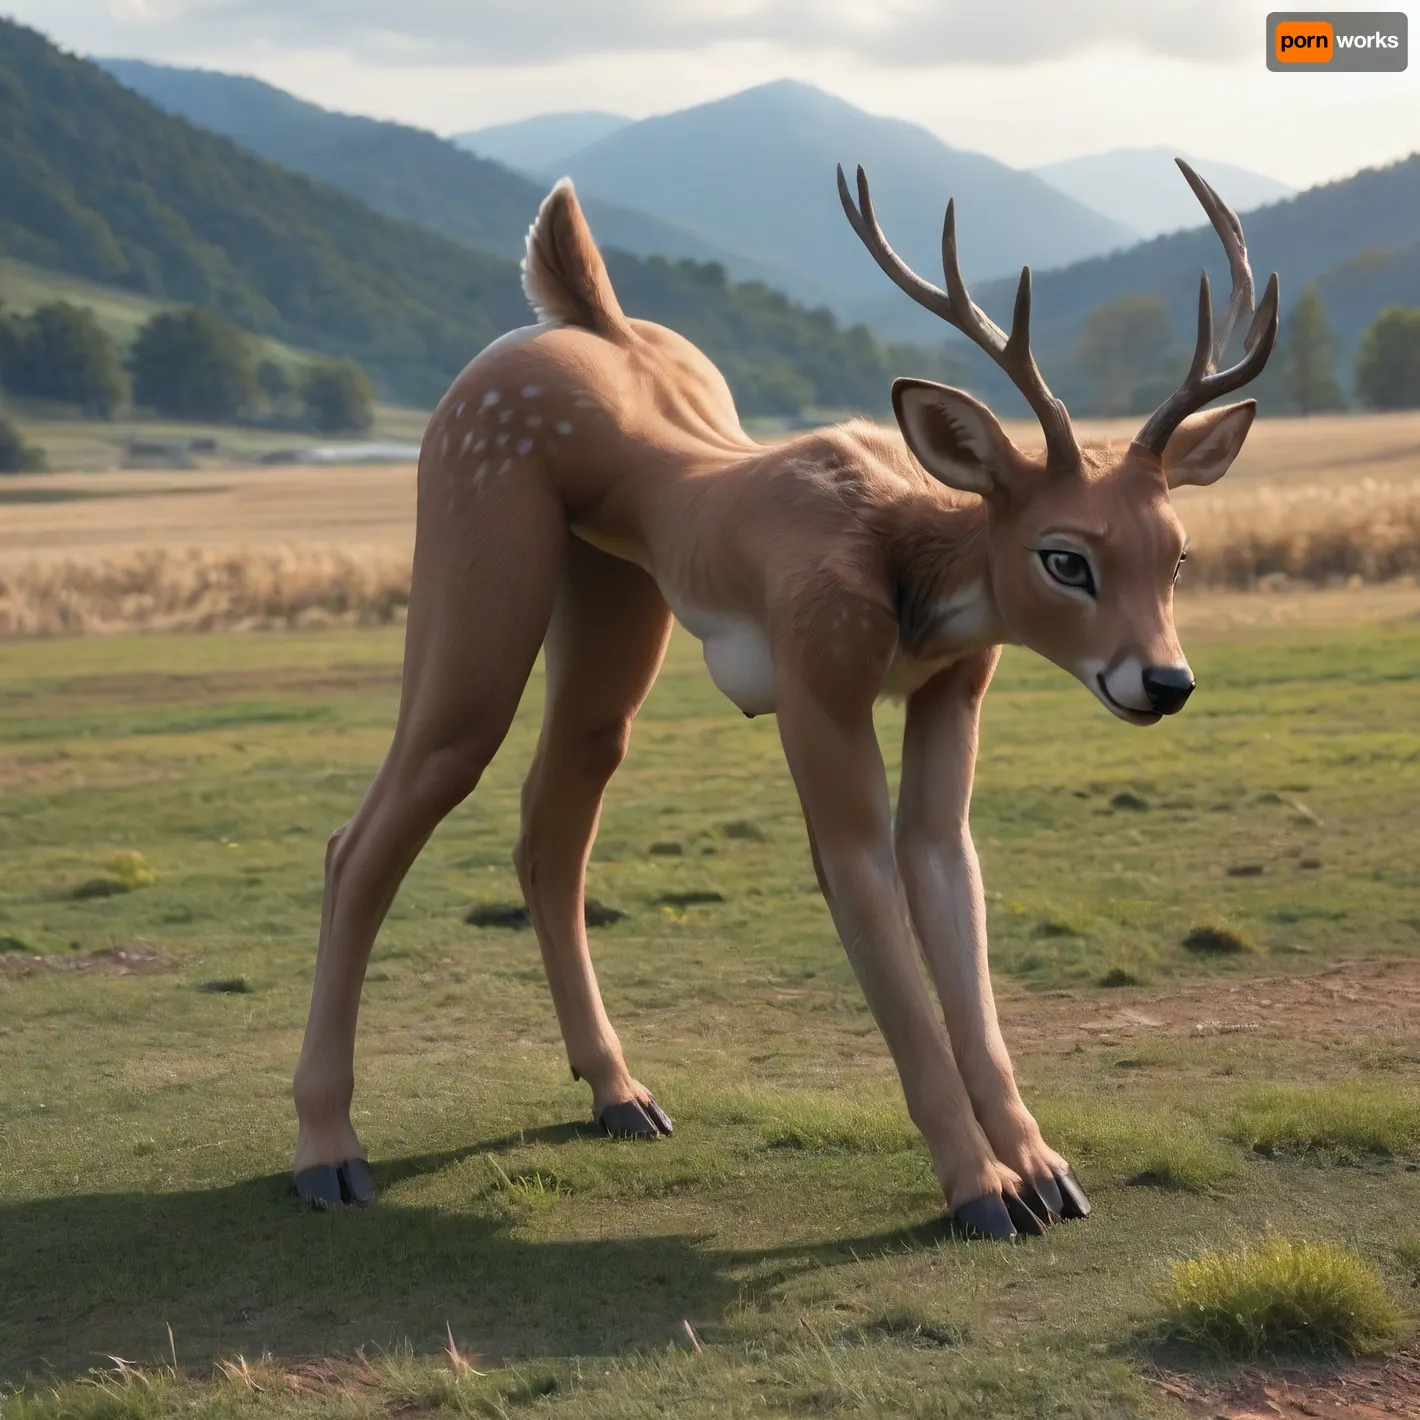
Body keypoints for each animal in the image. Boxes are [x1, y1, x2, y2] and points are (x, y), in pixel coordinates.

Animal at [291, 157, 1278, 1239]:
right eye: (1065, 558)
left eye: (1175, 553)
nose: (1165, 681)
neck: (904, 559)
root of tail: (581, 316)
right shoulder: (818, 689)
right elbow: (873, 914)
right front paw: (981, 1190)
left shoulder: (953, 688)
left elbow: (948, 888)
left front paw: (1042, 1168)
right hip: (475, 564)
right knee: (364, 837)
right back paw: (328, 1151)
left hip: (611, 609)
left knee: (549, 829)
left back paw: (619, 1094)